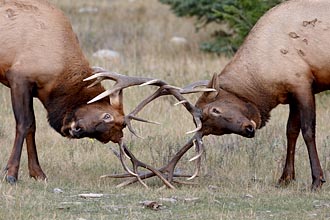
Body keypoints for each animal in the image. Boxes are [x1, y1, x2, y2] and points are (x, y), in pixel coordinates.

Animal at [0, 0, 209, 186]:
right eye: (107, 116)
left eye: (103, 138)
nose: (77, 130)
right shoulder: (19, 77)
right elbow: (25, 123)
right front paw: (11, 174)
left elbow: (32, 127)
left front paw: (38, 173)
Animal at [93, 0, 330, 189]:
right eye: (214, 131)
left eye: (215, 109)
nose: (249, 129)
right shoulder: (292, 93)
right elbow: (291, 131)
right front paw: (285, 178)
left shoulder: (302, 83)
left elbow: (308, 131)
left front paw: (317, 180)